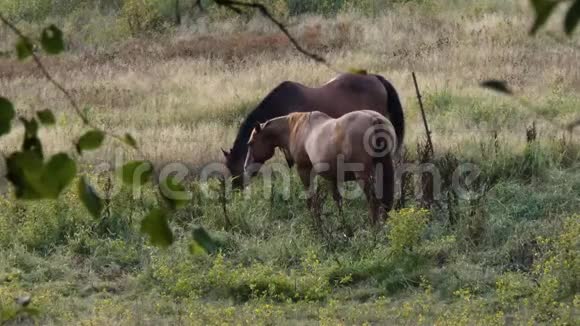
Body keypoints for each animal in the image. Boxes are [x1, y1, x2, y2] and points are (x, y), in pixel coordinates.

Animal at [242, 109, 396, 224]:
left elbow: (311, 200)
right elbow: (337, 201)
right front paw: (343, 225)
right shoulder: (333, 177)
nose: (246, 168)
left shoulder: (304, 171)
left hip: (363, 176)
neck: (295, 129)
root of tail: (374, 120)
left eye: (250, 143)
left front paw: (316, 224)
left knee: (373, 201)